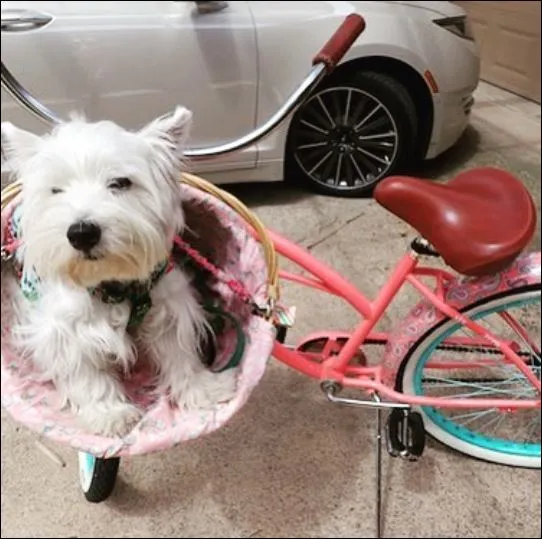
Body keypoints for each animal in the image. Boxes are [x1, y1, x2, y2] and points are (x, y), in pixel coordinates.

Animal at [0, 107, 238, 436]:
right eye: (55, 190)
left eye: (121, 183)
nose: (82, 233)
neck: (111, 283)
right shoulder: (64, 328)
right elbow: (84, 371)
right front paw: (110, 414)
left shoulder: (167, 306)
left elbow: (179, 352)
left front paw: (204, 390)